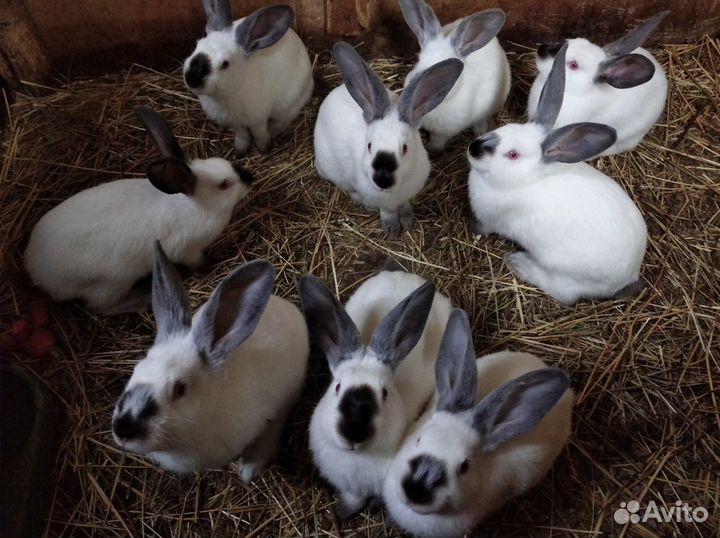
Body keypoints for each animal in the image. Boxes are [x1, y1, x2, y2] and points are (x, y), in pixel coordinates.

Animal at [24, 106, 252, 316]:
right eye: (224, 185)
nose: (249, 178)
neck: (195, 206)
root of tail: (34, 269)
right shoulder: (187, 250)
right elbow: (197, 262)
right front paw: (210, 264)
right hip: (112, 283)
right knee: (100, 308)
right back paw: (143, 300)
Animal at [183, 1, 314, 155]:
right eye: (197, 45)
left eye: (225, 64)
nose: (192, 78)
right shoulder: (236, 123)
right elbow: (242, 136)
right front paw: (239, 151)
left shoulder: (258, 119)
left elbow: (259, 134)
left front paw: (264, 148)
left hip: (289, 104)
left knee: (285, 120)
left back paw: (273, 131)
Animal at [298, 269, 452, 519]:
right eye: (337, 387)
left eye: (385, 393)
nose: (354, 432)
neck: (356, 458)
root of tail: (407, 275)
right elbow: (353, 499)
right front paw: (342, 512)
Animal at [314, 41, 463, 237]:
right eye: (369, 146)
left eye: (405, 148)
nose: (382, 180)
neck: (396, 190)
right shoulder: (383, 202)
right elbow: (388, 211)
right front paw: (392, 229)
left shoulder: (407, 195)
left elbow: (405, 205)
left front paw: (408, 221)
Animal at [467, 43, 648, 304]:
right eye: (505, 128)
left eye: (512, 155)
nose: (474, 148)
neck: (525, 179)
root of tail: (628, 277)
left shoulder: (491, 220)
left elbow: (482, 227)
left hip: (565, 275)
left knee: (563, 293)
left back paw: (518, 263)